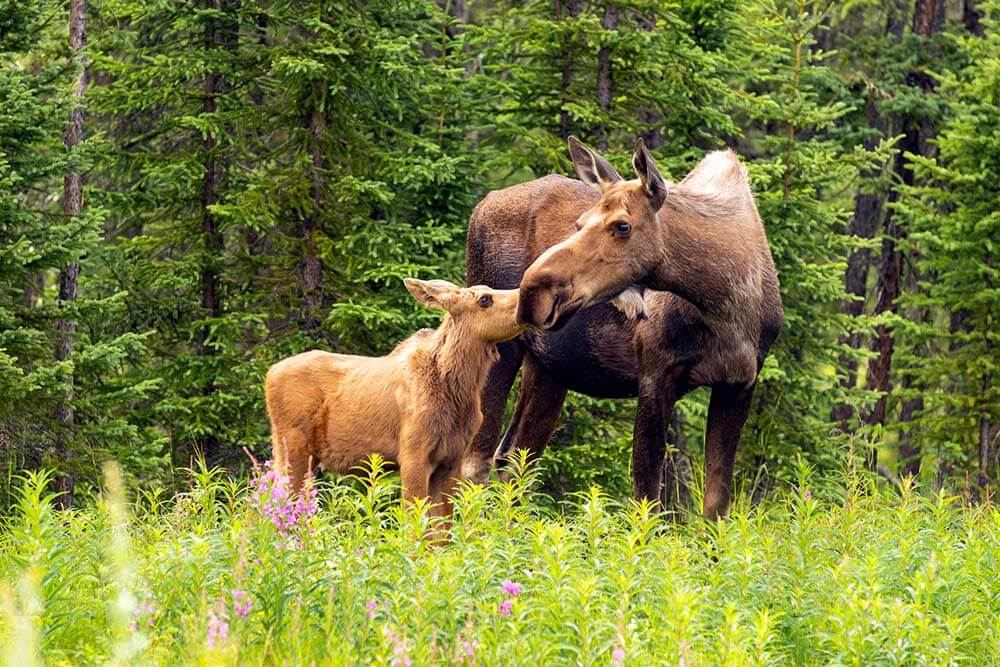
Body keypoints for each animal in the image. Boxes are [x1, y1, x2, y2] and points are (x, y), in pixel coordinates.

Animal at [264, 276, 524, 516]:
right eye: (485, 299)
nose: (523, 297)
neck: (457, 392)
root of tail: (269, 374)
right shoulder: (412, 455)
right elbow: (414, 522)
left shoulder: (451, 459)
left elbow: (442, 529)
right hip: (293, 446)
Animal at [464, 138, 784, 520]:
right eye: (579, 223)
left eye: (622, 225)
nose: (532, 291)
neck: (725, 305)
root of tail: (482, 203)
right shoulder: (655, 374)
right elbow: (647, 500)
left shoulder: (739, 383)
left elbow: (715, 504)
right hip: (501, 347)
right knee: (475, 459)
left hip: (549, 367)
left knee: (513, 459)